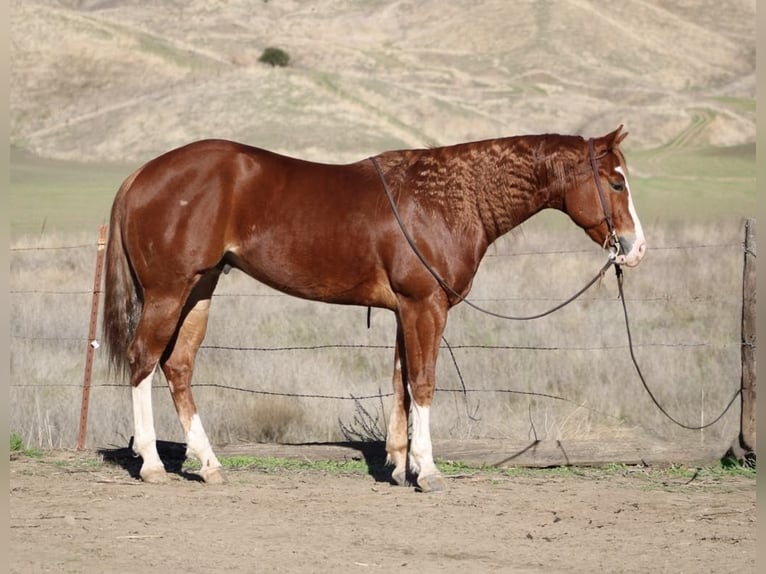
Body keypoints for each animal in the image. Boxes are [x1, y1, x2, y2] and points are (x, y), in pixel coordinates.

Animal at [102, 125, 646, 491]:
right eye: (616, 183)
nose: (635, 248)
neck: (448, 198)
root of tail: (141, 175)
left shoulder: (407, 311)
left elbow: (402, 384)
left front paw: (401, 464)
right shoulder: (425, 307)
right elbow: (422, 383)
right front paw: (428, 470)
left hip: (200, 290)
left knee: (177, 366)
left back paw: (209, 464)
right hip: (169, 293)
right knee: (142, 360)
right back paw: (152, 464)